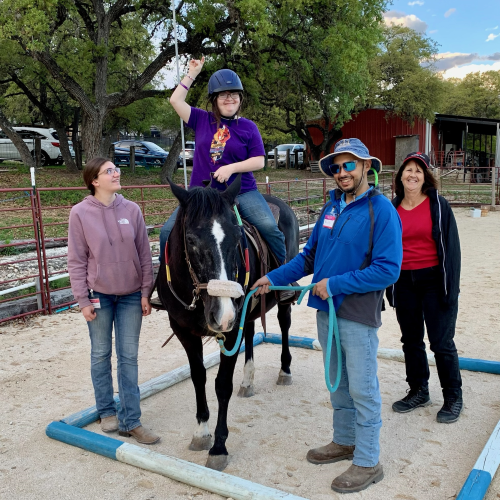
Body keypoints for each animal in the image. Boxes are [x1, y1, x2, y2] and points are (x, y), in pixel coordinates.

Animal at [157, 175, 296, 468]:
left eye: (238, 238)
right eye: (190, 240)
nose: (223, 315)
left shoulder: (229, 332)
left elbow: (221, 385)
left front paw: (219, 447)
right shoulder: (183, 331)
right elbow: (198, 377)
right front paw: (201, 432)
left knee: (284, 324)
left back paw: (285, 371)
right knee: (251, 331)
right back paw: (248, 381)